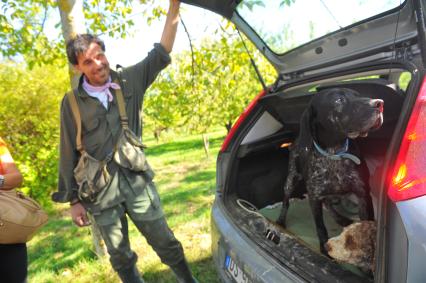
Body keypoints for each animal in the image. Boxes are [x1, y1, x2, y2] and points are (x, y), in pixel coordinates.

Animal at [274, 88, 384, 255]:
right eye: (338, 100)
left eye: (358, 95)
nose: (379, 104)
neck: (335, 153)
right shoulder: (314, 197)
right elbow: (320, 227)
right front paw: (324, 249)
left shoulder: (362, 194)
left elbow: (365, 224)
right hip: (291, 181)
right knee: (286, 201)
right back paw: (280, 221)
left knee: (328, 203)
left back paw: (341, 218)